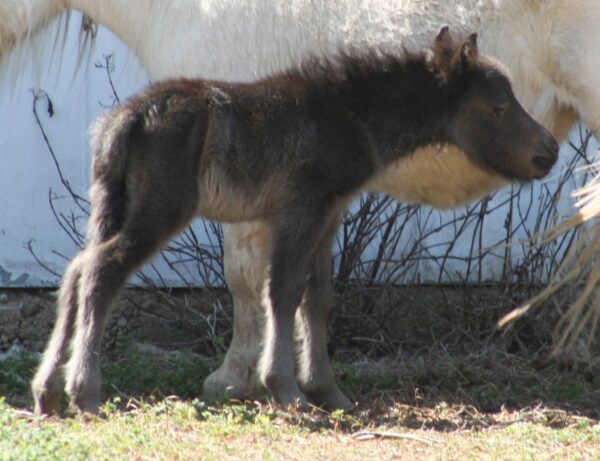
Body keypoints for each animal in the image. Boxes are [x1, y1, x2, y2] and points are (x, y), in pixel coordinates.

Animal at [2, 0, 596, 410]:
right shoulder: (300, 209)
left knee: (77, 272)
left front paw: (324, 391)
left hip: (116, 210)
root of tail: (122, 121)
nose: (546, 153)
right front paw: (281, 387)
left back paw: (49, 391)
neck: (343, 111)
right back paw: (81, 392)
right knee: (97, 271)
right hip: (153, 212)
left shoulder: (327, 213)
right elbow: (278, 290)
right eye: (497, 105)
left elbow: (315, 297)